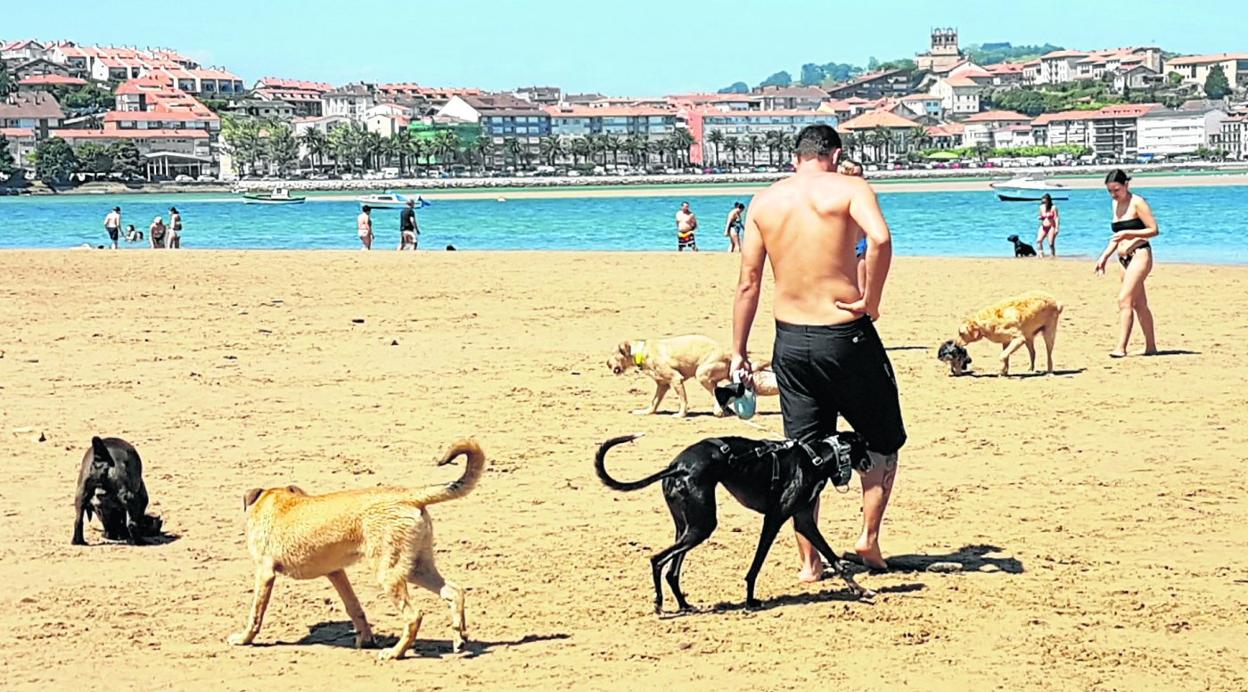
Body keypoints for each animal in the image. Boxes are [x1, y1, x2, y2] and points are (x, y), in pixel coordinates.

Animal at [227, 437, 484, 659]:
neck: (276, 500)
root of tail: (409, 496)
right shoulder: (336, 572)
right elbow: (354, 607)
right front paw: (366, 639)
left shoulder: (265, 572)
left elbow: (255, 613)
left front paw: (243, 639)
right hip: (415, 568)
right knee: (455, 591)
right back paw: (459, 639)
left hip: (389, 575)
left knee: (414, 616)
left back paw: (395, 653)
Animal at [596, 429, 873, 609]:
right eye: (865, 446)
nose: (870, 464)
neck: (815, 458)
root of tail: (677, 466)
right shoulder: (774, 519)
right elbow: (756, 565)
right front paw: (750, 600)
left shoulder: (804, 520)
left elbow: (836, 559)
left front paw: (859, 589)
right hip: (702, 526)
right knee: (657, 560)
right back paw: (659, 603)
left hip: (687, 527)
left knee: (672, 571)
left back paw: (684, 604)